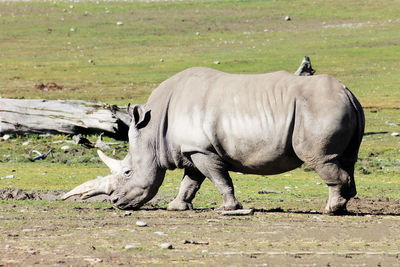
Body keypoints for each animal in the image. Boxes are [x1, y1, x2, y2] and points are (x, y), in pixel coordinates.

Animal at [61, 67, 364, 216]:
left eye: (127, 172)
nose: (115, 203)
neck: (153, 130)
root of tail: (347, 92)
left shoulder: (202, 149)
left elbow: (219, 178)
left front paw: (228, 209)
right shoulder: (191, 150)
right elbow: (190, 181)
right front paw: (177, 207)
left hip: (318, 108)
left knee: (321, 159)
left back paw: (329, 211)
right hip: (339, 106)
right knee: (345, 160)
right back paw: (342, 207)